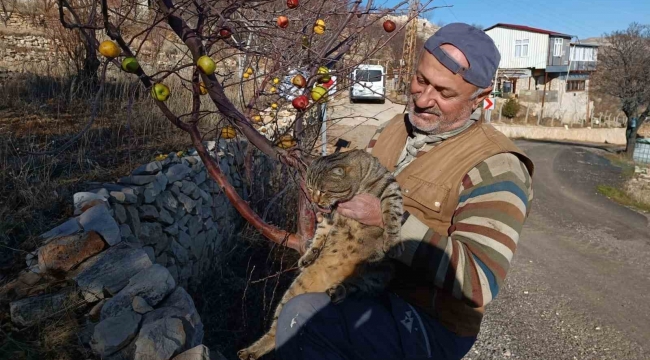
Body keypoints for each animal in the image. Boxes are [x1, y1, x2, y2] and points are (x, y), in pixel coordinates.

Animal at [238, 149, 400, 360]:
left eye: (323, 191)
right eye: (309, 188)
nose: (314, 201)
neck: (356, 190)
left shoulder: (390, 186)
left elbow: (392, 211)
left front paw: (393, 238)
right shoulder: (328, 216)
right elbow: (320, 233)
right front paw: (309, 255)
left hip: (377, 277)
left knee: (356, 287)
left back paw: (338, 289)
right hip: (293, 292)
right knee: (277, 331)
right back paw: (252, 351)